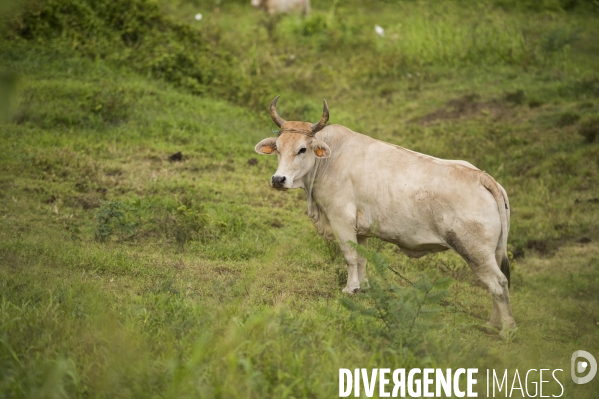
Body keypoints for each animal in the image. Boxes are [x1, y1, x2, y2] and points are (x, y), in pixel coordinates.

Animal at [253, 96, 516, 334]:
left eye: (302, 149)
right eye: (278, 148)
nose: (278, 179)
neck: (329, 160)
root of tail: (483, 177)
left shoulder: (341, 219)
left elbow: (350, 257)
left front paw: (350, 289)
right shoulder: (360, 229)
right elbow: (362, 258)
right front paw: (362, 287)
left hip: (474, 251)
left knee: (498, 283)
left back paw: (506, 330)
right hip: (491, 252)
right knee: (498, 284)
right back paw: (492, 325)